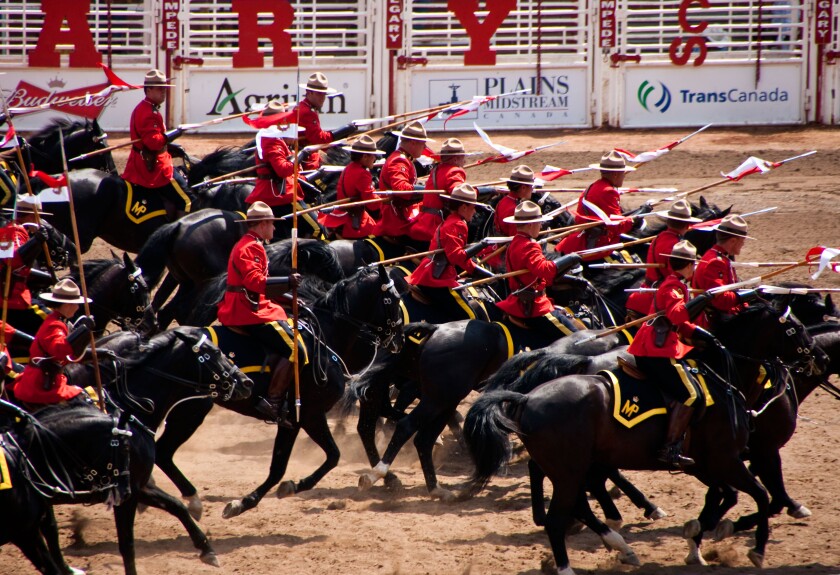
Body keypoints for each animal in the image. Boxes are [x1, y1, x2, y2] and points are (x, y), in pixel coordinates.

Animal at [151, 268, 406, 520]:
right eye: (393, 300)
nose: (400, 339)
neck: (326, 338)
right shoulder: (308, 415)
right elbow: (324, 457)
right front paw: (254, 499)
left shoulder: (292, 421)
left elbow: (286, 466)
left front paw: (257, 497)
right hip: (191, 409)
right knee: (162, 451)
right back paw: (191, 500)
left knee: (162, 452)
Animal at [466, 304, 828, 572]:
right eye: (795, 328)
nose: (818, 357)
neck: (725, 379)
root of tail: (527, 397)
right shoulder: (729, 459)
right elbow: (762, 496)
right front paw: (756, 549)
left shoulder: (708, 464)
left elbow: (728, 496)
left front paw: (697, 538)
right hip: (570, 470)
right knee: (560, 517)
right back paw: (576, 558)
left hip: (572, 468)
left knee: (578, 503)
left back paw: (622, 545)